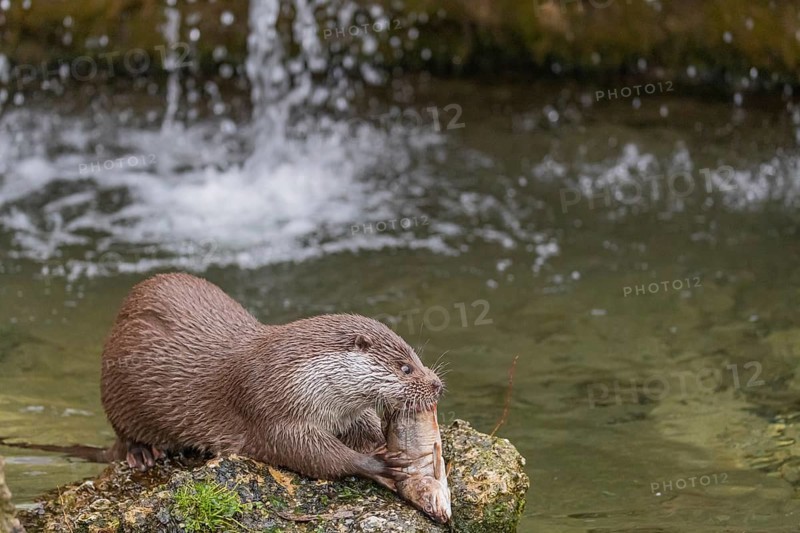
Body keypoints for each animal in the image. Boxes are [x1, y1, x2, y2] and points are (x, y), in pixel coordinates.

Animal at [100, 273, 443, 490]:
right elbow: (308, 454)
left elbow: (365, 425)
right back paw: (142, 454)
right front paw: (377, 462)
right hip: (116, 390)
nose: (436, 384)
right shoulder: (270, 411)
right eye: (405, 368)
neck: (295, 375)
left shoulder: (347, 411)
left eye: (417, 357)